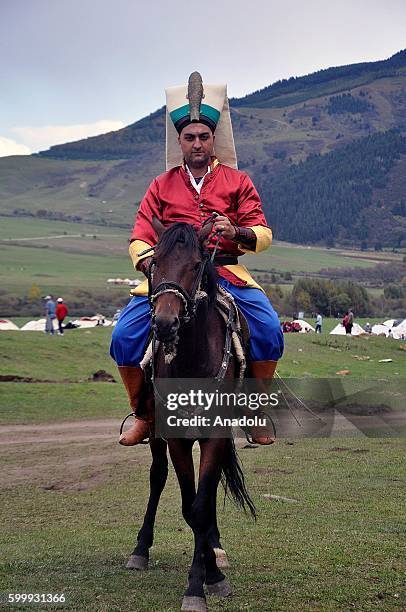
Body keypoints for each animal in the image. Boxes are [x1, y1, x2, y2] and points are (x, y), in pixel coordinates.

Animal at [127, 222, 254, 612]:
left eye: (197, 265)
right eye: (154, 263)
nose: (165, 323)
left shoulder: (215, 437)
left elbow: (202, 505)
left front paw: (207, 578)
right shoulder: (177, 441)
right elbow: (189, 506)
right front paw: (204, 578)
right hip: (155, 432)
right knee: (157, 477)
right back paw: (140, 550)